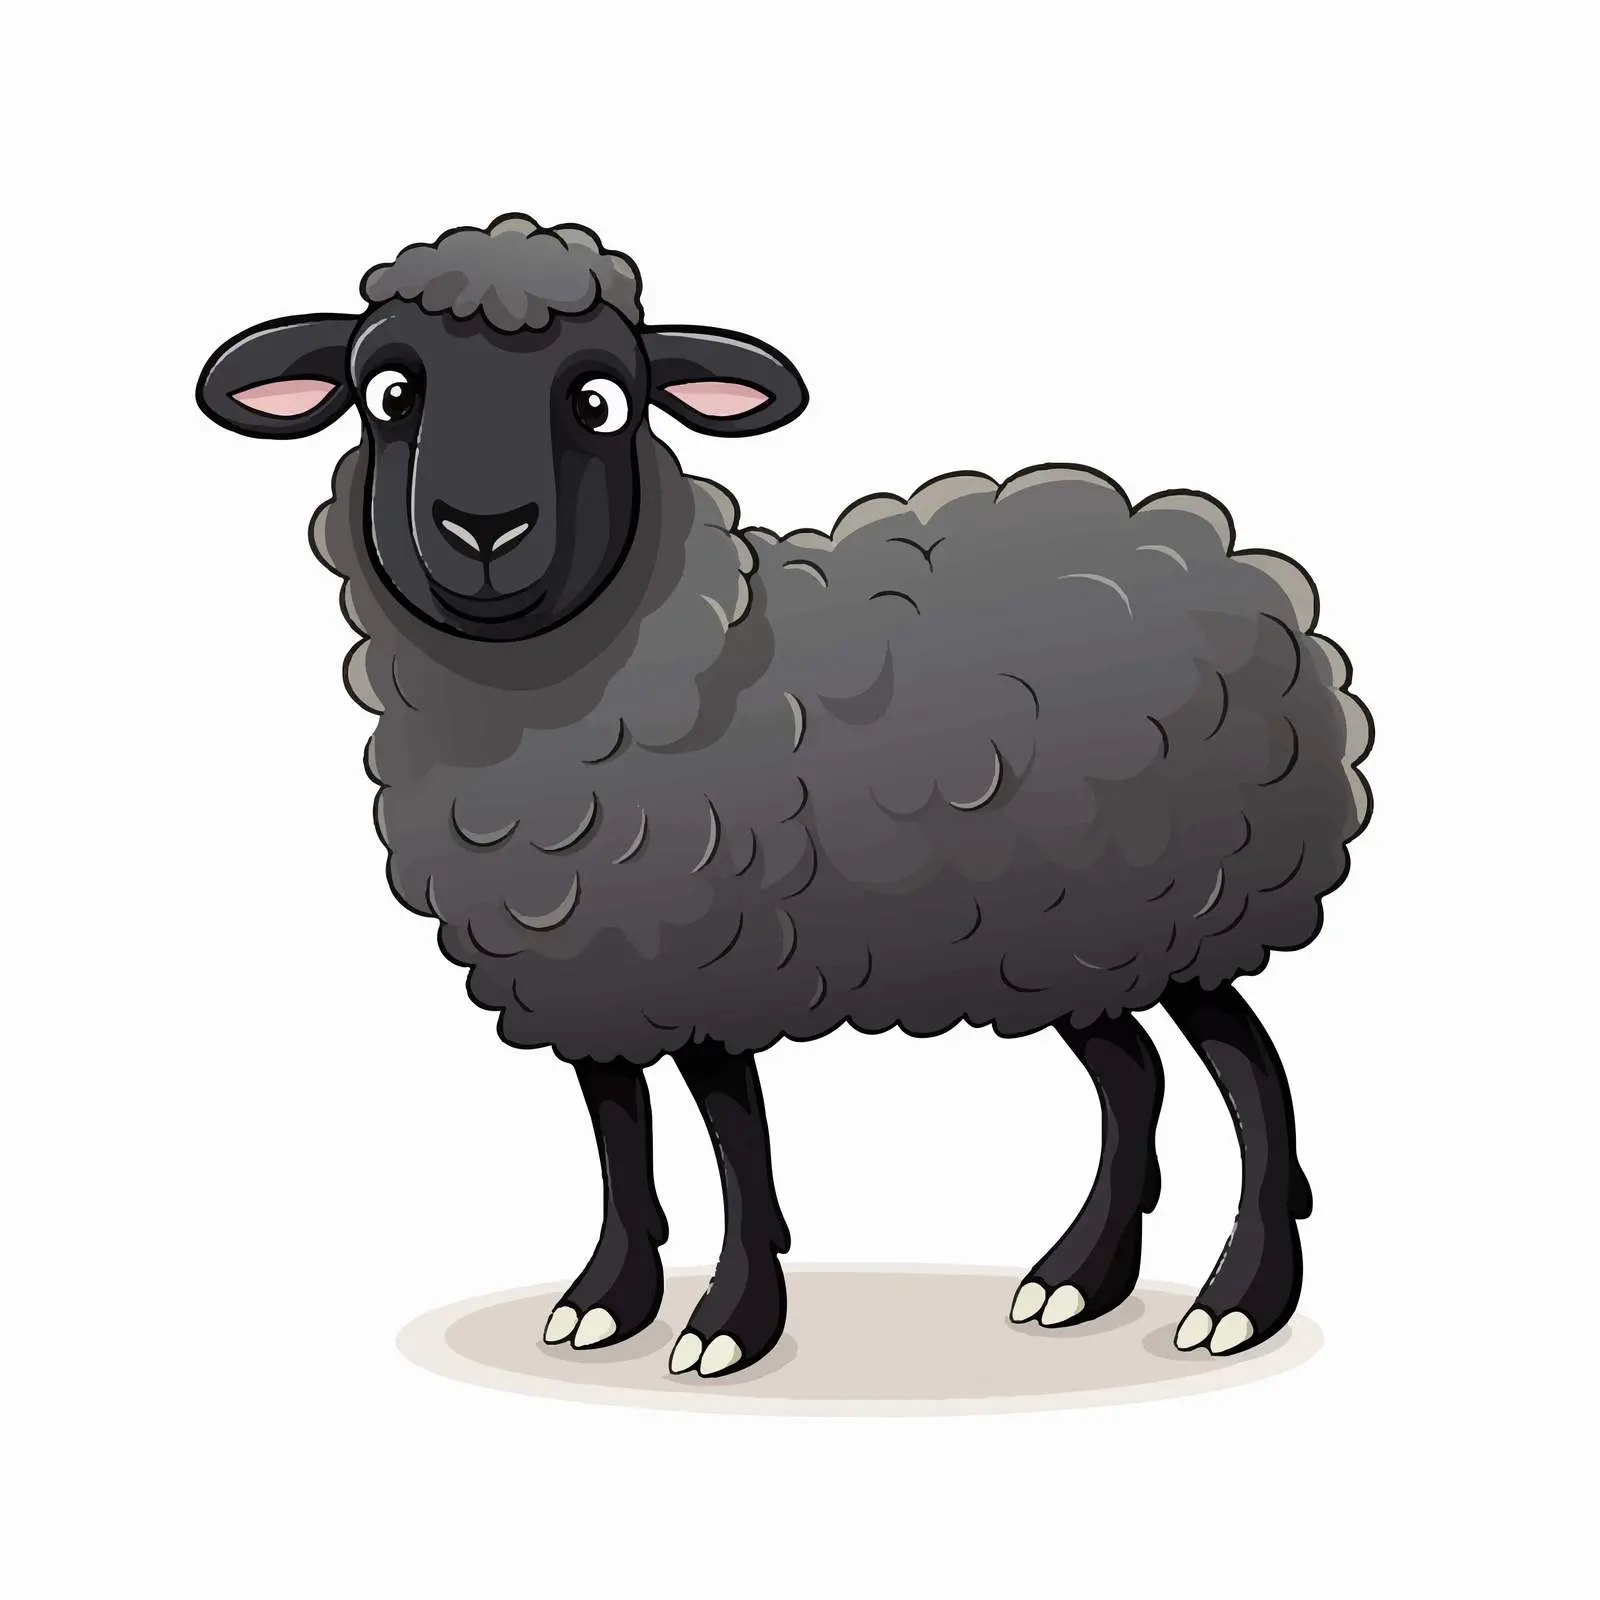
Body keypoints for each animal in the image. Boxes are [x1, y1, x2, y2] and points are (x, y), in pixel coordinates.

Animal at [197, 213, 1373, 1381]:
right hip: (1061, 938)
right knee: (1131, 1075)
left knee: (1250, 1074)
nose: (483, 531)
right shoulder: (589, 970)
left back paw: (1239, 1300)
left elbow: (733, 1141)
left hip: (1192, 906)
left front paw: (729, 1320)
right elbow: (620, 1134)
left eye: (600, 401)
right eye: (391, 392)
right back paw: (1077, 1279)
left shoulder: (713, 959)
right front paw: (606, 1301)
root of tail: (1225, 557)